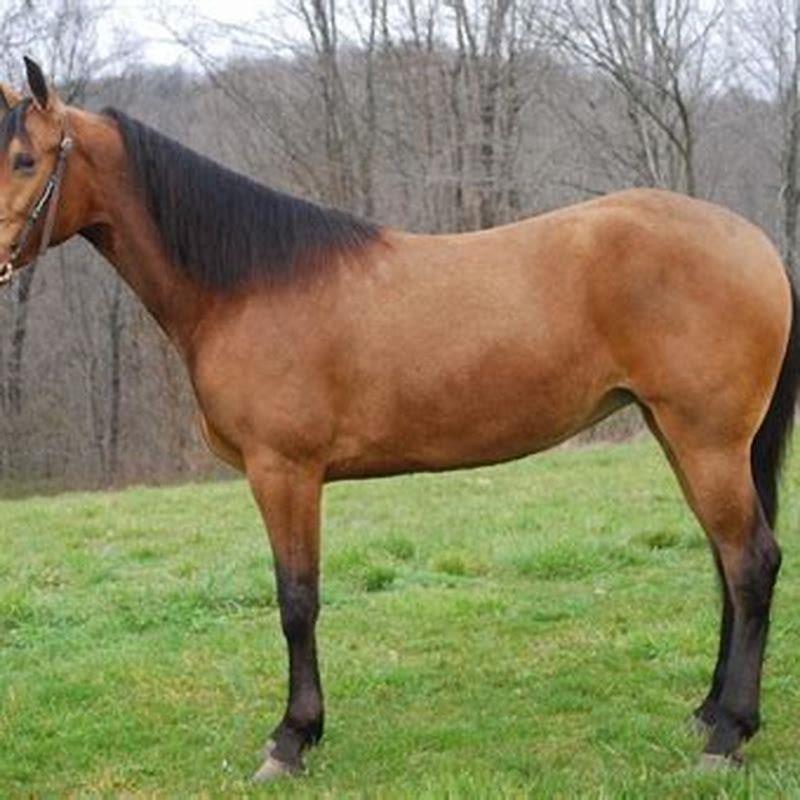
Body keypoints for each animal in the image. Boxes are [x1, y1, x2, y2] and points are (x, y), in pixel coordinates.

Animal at [1, 57, 797, 781]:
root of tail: (757, 243)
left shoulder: (284, 472)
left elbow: (296, 601)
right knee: (724, 563)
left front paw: (291, 740)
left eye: (24, 158)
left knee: (751, 563)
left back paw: (728, 736)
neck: (247, 285)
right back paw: (709, 711)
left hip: (708, 441)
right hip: (680, 436)